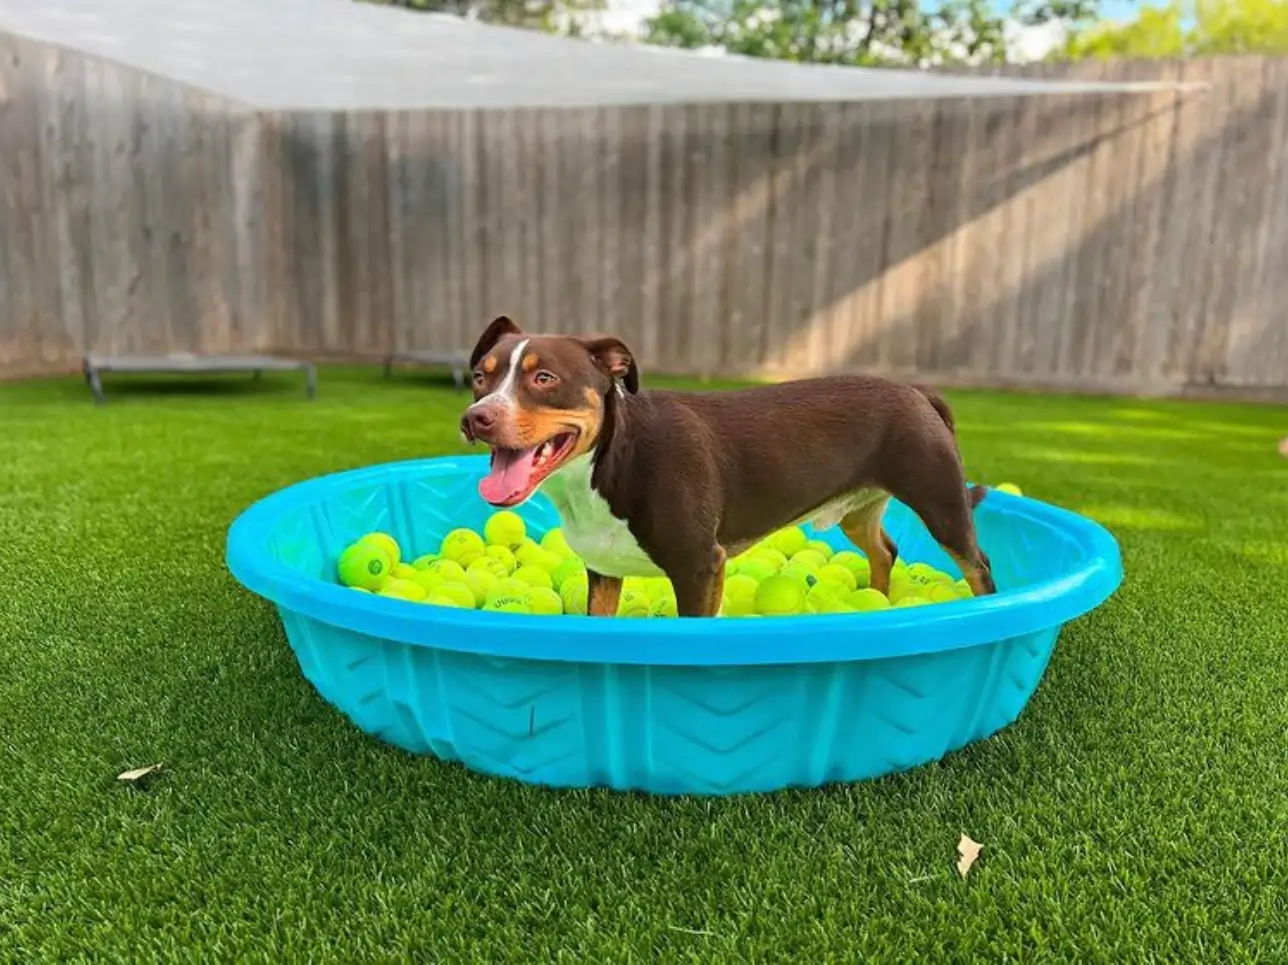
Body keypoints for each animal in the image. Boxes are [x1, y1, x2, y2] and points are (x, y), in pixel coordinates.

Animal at [463, 315, 994, 618]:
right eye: (479, 378)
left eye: (545, 378)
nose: (475, 418)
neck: (610, 462)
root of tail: (916, 391)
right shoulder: (604, 571)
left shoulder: (699, 568)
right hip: (860, 511)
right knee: (884, 551)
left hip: (941, 503)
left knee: (977, 564)